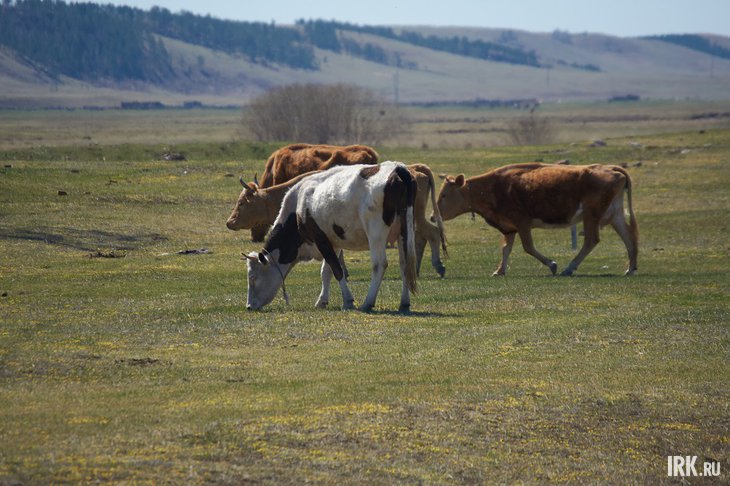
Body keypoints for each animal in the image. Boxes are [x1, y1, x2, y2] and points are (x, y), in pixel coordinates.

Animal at [228, 164, 448, 278]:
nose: (229, 222)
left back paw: (437, 266)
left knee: (432, 233)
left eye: (241, 203)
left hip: (415, 217)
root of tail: (415, 170)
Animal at [243, 161, 417, 312]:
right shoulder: (334, 242)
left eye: (252, 277)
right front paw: (322, 301)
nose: (249, 306)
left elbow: (336, 269)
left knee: (379, 264)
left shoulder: (320, 239)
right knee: (405, 264)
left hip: (376, 233)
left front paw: (348, 301)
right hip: (404, 232)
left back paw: (368, 302)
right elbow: (326, 271)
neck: (299, 203)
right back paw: (404, 303)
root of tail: (396, 168)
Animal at [436, 163, 638, 276]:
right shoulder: (509, 227)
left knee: (591, 240)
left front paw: (552, 264)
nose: (432, 215)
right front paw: (499, 270)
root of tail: (611, 169)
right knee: (628, 236)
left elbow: (528, 247)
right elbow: (505, 249)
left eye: (444, 195)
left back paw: (569, 268)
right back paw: (630, 268)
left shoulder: (522, 222)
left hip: (591, 215)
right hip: (615, 215)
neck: (491, 187)